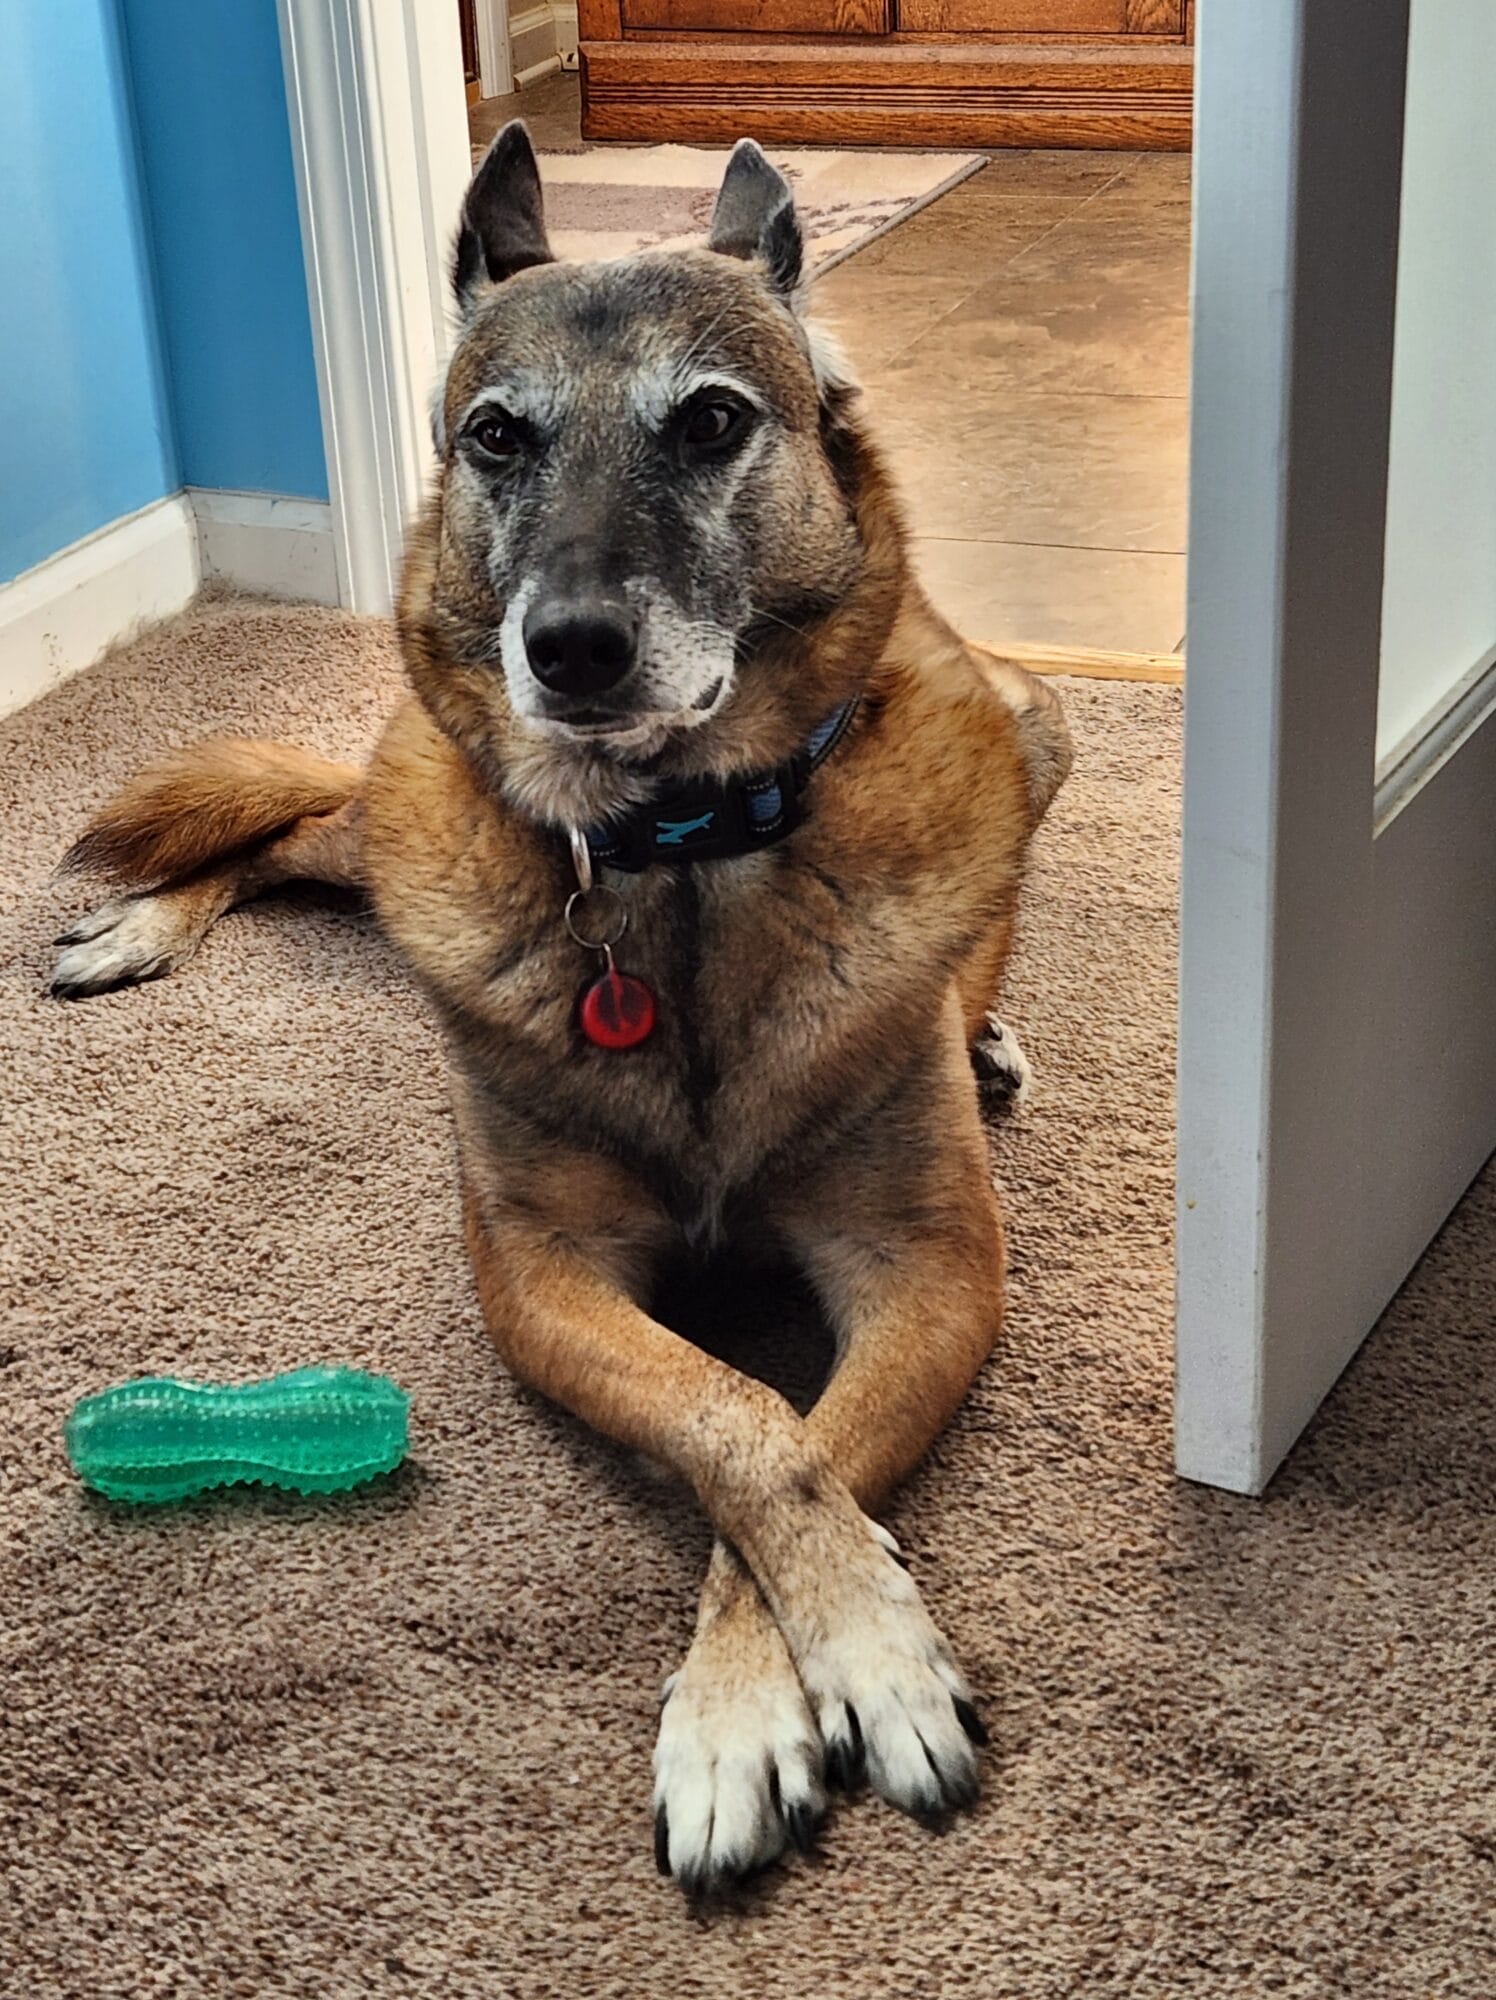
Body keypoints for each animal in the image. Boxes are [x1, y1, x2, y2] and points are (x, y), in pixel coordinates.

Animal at [52, 127, 1072, 1893]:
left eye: (714, 421)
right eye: (497, 436)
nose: (573, 653)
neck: (674, 859)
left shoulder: (931, 1271)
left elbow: (802, 1442)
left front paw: (828, 1672)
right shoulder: (540, 1276)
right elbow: (743, 1421)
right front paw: (792, 1691)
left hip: (1040, 728)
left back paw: (991, 1033)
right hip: (391, 813)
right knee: (284, 827)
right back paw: (138, 923)